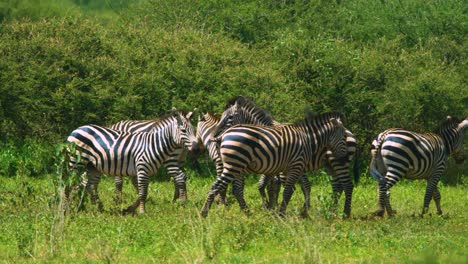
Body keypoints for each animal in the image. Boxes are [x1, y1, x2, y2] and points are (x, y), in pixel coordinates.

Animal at [66, 109, 198, 214]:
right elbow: (141, 192)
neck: (153, 144)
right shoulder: (141, 169)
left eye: (193, 130)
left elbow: (142, 192)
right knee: (72, 183)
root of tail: (77, 129)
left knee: (89, 185)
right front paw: (141, 211)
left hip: (92, 167)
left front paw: (129, 208)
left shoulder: (145, 171)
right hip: (77, 162)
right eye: (183, 130)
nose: (196, 148)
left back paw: (98, 207)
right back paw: (69, 206)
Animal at [212, 96, 354, 218]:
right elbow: (266, 185)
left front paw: (274, 208)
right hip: (330, 165)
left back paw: (344, 213)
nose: (214, 137)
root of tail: (348, 131)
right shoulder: (276, 166)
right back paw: (333, 210)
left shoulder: (282, 166)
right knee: (337, 185)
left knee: (347, 185)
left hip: (338, 162)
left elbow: (279, 186)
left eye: (230, 117)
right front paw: (271, 207)